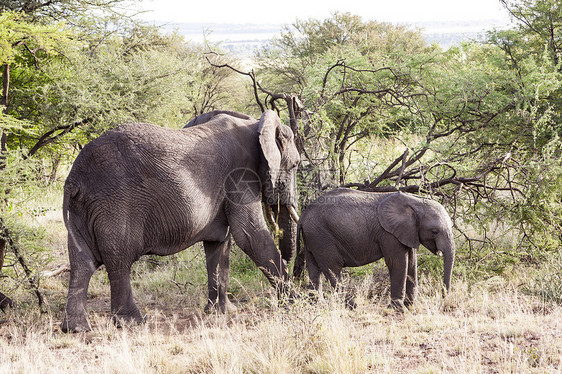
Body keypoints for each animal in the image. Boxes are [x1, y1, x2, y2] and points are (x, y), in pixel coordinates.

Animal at [61, 109, 300, 332]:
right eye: (295, 165)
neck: (255, 123)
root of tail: (75, 179)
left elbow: (218, 244)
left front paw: (220, 311)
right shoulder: (240, 176)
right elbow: (250, 236)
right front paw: (298, 302)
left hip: (83, 208)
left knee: (82, 262)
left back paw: (75, 328)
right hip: (114, 203)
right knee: (119, 258)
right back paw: (132, 322)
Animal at [290, 188, 452, 312]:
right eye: (435, 231)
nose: (444, 298)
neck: (413, 201)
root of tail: (303, 216)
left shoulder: (406, 232)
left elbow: (411, 262)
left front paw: (409, 306)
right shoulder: (388, 234)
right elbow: (397, 262)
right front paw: (399, 309)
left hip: (313, 237)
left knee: (314, 269)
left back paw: (317, 306)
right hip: (322, 237)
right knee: (332, 268)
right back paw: (353, 306)